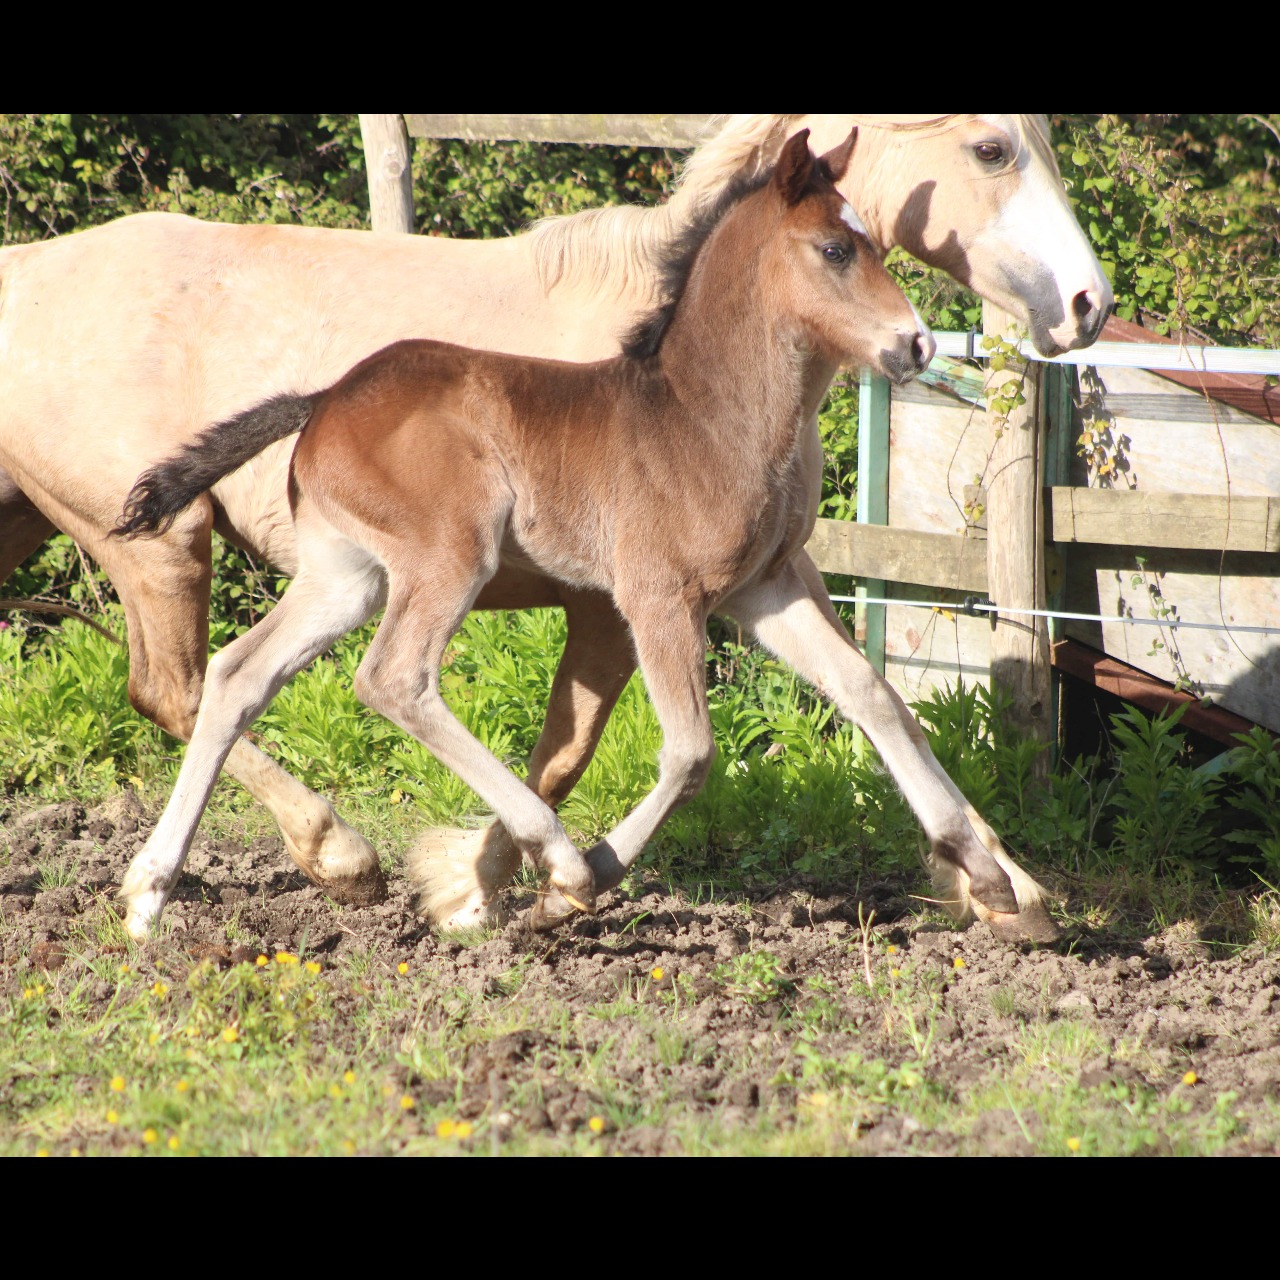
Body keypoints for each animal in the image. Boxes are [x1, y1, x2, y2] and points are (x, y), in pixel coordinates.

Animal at [0, 115, 1105, 947]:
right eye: (836, 249)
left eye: (874, 238)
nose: (913, 344)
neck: (698, 413)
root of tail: (327, 397)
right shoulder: (647, 599)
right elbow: (675, 751)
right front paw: (552, 880)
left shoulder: (764, 588)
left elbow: (873, 696)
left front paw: (994, 881)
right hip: (416, 554)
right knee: (381, 679)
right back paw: (508, 857)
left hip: (343, 575)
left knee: (235, 677)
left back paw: (156, 892)